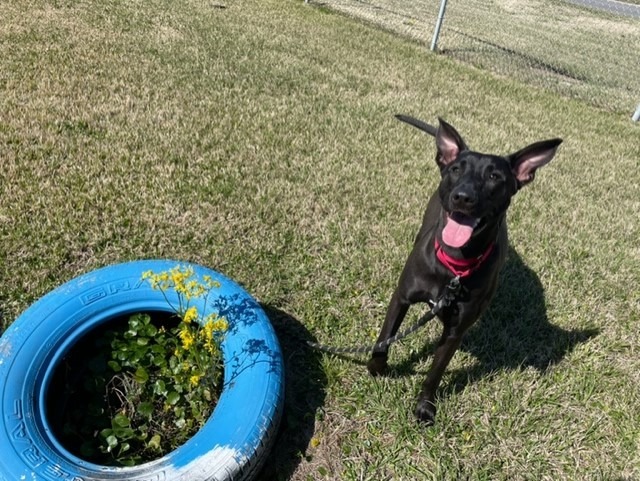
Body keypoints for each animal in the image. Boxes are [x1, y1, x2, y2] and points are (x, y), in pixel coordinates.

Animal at [368, 114, 564, 422]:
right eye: (456, 169)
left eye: (495, 177)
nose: (463, 197)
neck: (454, 266)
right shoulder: (401, 297)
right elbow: (384, 339)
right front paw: (376, 370)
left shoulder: (456, 330)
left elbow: (435, 372)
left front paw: (425, 406)